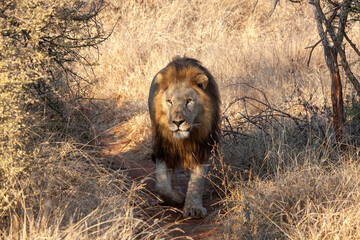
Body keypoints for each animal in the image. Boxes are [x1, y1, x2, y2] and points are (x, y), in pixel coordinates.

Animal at [148, 57, 221, 218]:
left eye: (189, 101)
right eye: (170, 102)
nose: (177, 122)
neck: (184, 139)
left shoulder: (202, 148)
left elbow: (197, 181)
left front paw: (193, 208)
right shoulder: (164, 148)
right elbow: (162, 185)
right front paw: (177, 198)